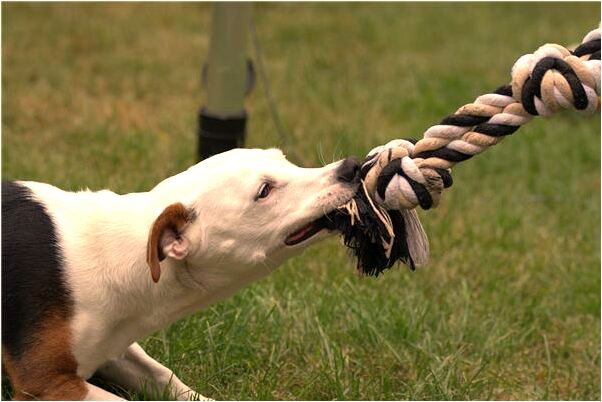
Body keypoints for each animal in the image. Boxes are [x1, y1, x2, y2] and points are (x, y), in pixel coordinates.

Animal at [2, 148, 358, 398]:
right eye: (264, 191)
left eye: (285, 160)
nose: (352, 167)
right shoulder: (44, 382)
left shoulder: (114, 348)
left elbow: (164, 376)